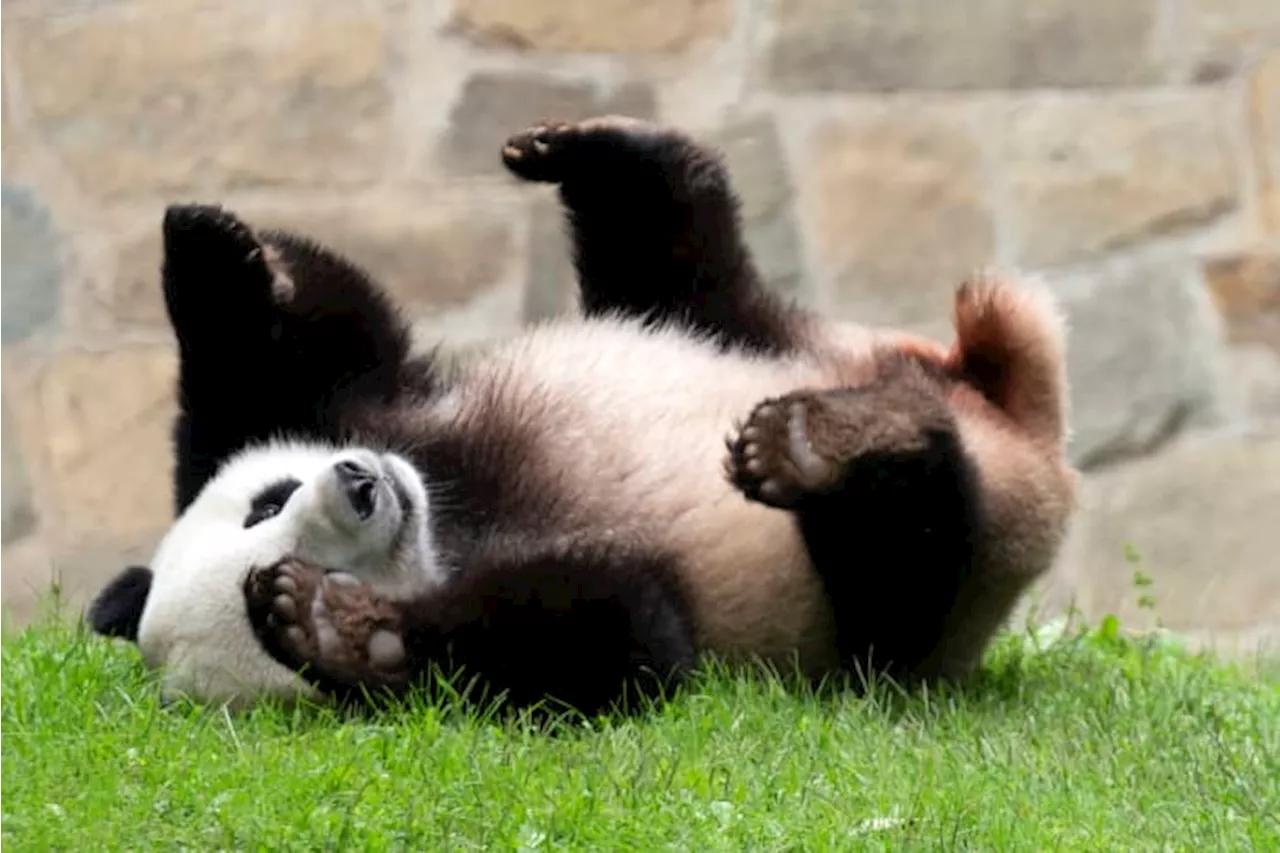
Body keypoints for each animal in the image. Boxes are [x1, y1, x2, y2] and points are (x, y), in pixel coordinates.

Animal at [85, 112, 1075, 712]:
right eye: (288, 542)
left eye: (267, 501)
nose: (362, 484)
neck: (451, 516)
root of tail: (1022, 428)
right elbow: (620, 639)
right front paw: (337, 628)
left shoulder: (370, 410)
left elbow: (322, 345)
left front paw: (210, 251)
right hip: (906, 610)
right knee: (907, 562)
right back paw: (833, 449)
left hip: (762, 333)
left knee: (683, 259)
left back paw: (597, 153)